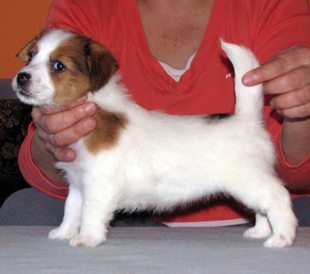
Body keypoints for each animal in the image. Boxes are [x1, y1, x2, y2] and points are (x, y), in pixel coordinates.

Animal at [12, 28, 298, 247]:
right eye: (32, 55)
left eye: (58, 66)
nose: (21, 77)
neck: (99, 110)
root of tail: (247, 119)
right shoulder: (78, 183)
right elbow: (72, 210)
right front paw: (64, 233)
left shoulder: (98, 185)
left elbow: (90, 213)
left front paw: (87, 238)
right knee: (262, 208)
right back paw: (260, 231)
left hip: (248, 179)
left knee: (278, 198)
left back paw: (281, 238)